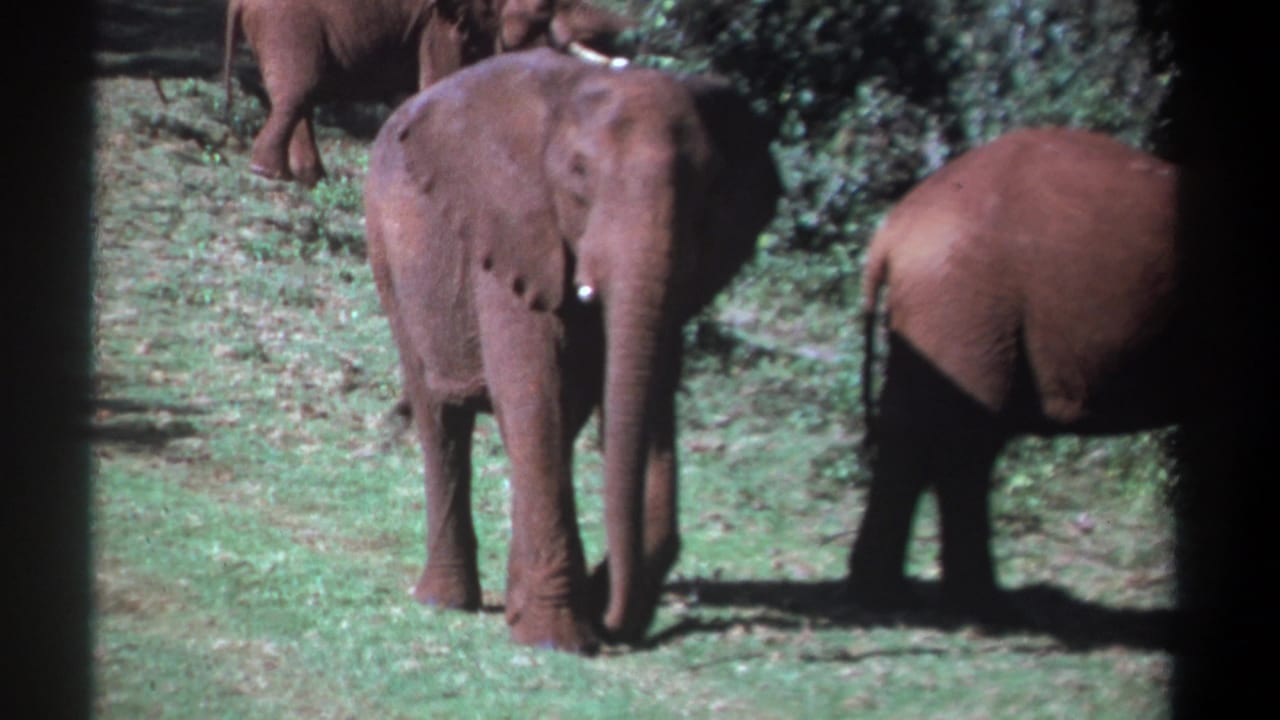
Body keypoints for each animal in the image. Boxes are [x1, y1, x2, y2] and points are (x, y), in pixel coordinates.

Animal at [223, 0, 632, 186]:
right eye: (545, 7)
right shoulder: (441, 22)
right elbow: (440, 79)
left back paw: (309, 178)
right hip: (286, 23)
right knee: (298, 91)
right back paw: (269, 173)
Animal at [363, 49, 781, 652]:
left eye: (708, 187)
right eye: (580, 175)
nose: (616, 622)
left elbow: (638, 401)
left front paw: (565, 611)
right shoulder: (514, 231)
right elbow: (533, 396)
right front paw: (553, 639)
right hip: (387, 250)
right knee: (441, 415)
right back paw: (445, 602)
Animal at [850, 127, 1185, 615]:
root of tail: (894, 230)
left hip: (948, 310)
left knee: (920, 433)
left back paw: (891, 595)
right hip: (967, 300)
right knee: (964, 442)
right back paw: (974, 605)